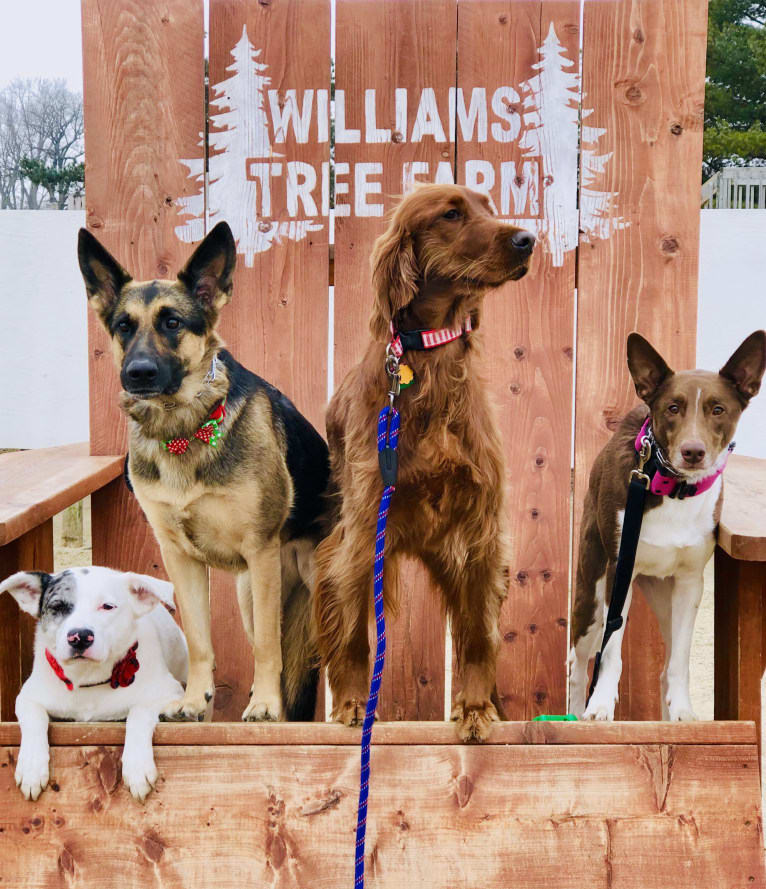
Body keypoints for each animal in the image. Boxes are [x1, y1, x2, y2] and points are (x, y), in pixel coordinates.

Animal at [2, 564, 188, 800]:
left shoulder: (169, 692)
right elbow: (34, 717)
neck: (88, 679)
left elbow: (139, 712)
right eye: (58, 607)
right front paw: (31, 766)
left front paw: (137, 766)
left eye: (107, 606)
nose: (80, 637)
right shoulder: (28, 697)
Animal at [78, 222, 330, 720]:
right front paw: (194, 700)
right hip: (253, 595)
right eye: (123, 327)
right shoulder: (182, 560)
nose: (138, 374)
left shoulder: (259, 550)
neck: (182, 427)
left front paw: (263, 706)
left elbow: (267, 649)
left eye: (173, 323)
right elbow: (199, 641)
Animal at [312, 184, 536, 740]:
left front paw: (474, 710)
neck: (429, 364)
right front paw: (354, 704)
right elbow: (354, 631)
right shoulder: (362, 533)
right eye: (451, 214)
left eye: (488, 207)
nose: (528, 239)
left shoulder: (481, 533)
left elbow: (478, 637)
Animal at [568, 330, 766, 720]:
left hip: (665, 596)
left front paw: (683, 712)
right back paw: (574, 713)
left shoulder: (690, 583)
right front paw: (600, 706)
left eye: (718, 409)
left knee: (666, 662)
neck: (673, 489)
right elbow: (610, 652)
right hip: (592, 588)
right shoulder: (619, 573)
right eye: (673, 408)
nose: (693, 451)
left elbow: (679, 661)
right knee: (579, 660)